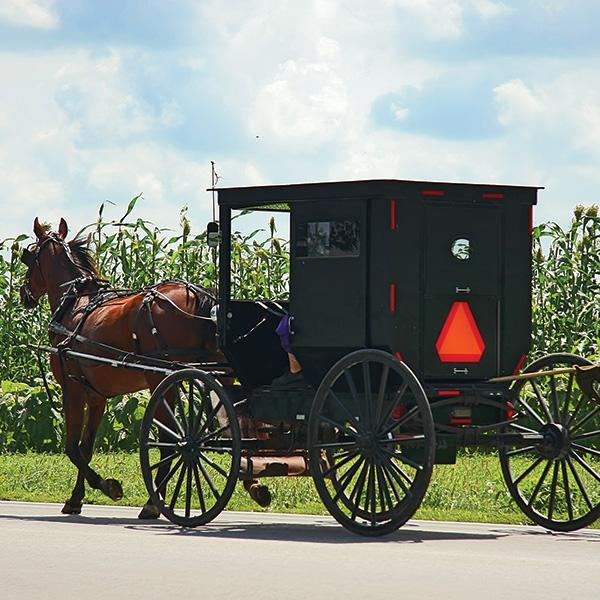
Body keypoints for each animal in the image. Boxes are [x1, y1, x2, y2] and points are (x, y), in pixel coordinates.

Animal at [19, 217, 270, 518]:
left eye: (28, 256)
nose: (23, 294)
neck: (76, 306)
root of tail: (199, 295)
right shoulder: (97, 396)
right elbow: (86, 448)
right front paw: (76, 498)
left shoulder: (73, 389)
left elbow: (72, 448)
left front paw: (108, 486)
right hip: (219, 376)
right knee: (237, 427)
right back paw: (254, 485)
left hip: (160, 379)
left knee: (170, 441)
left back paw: (154, 502)